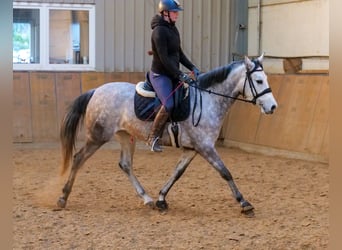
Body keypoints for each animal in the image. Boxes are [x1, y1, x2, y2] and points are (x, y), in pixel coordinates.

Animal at [56, 54, 278, 215]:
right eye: (259, 80)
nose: (273, 107)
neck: (208, 100)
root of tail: (95, 91)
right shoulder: (206, 147)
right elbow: (225, 172)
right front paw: (244, 202)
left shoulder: (192, 149)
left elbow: (177, 173)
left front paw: (161, 199)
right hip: (98, 136)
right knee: (78, 158)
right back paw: (63, 197)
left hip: (125, 136)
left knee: (125, 164)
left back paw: (147, 199)